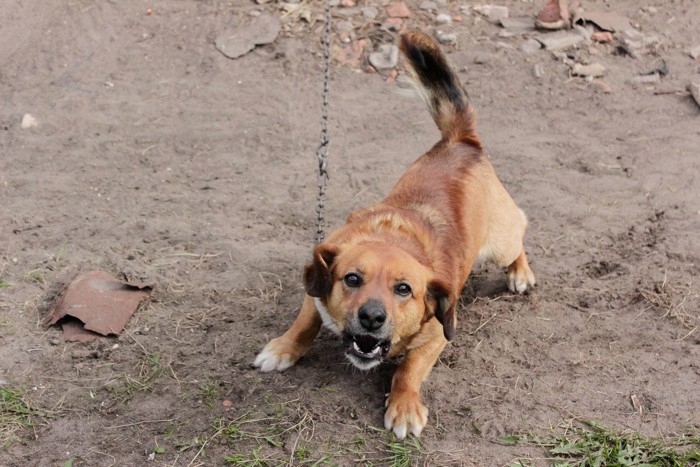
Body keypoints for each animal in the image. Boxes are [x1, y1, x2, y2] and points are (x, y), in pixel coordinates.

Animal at [254, 31, 532, 440]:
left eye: (404, 289)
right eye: (352, 279)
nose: (372, 317)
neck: (392, 237)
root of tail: (462, 142)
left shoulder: (437, 335)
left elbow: (408, 370)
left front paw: (403, 405)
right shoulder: (315, 288)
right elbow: (304, 323)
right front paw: (283, 348)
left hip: (501, 243)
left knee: (521, 230)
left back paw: (520, 272)